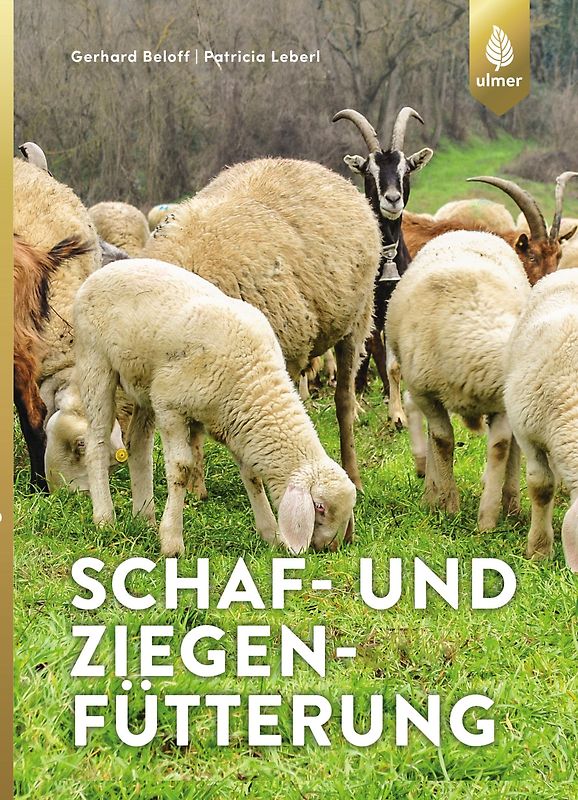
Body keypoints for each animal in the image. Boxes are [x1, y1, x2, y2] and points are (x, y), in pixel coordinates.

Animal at [74, 259, 357, 557]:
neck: (252, 379)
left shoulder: (236, 424)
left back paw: (144, 517)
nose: (328, 548)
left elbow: (252, 475)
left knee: (138, 445)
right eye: (320, 507)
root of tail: (108, 268)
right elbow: (181, 469)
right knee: (97, 442)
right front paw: (172, 541)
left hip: (143, 385)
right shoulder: (170, 406)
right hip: (95, 361)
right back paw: (105, 518)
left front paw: (270, 534)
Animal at [143, 157, 382, 489]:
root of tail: (300, 162)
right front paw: (196, 488)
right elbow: (194, 430)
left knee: (344, 400)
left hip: (356, 322)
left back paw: (353, 473)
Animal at [331, 107, 433, 423]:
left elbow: (393, 365)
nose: (392, 199)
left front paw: (398, 415)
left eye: (406, 169)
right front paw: (354, 410)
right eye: (369, 171)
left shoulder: (391, 303)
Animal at [386, 230, 531, 531]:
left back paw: (511, 504)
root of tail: (470, 230)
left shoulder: (500, 402)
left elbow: (500, 446)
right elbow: (442, 440)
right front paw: (449, 505)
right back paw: (431, 493)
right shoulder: (426, 394)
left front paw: (487, 520)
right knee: (433, 435)